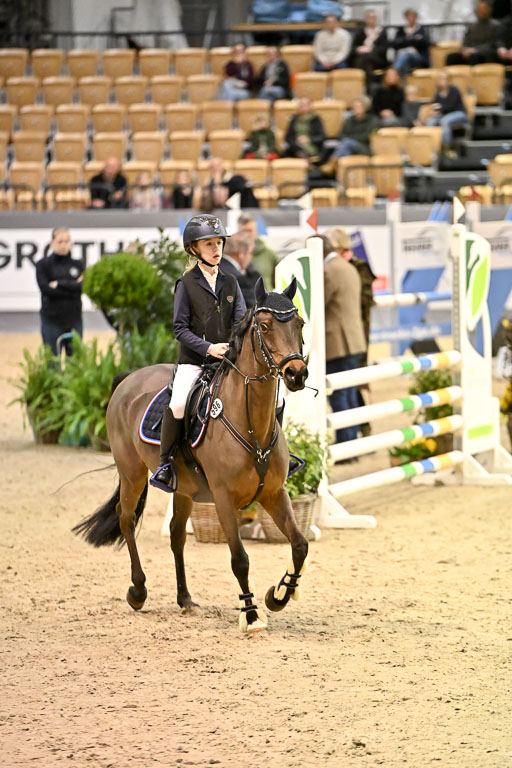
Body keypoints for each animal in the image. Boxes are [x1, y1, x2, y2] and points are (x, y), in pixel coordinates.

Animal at [73, 278, 310, 634]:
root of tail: (129, 378)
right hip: (132, 474)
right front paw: (251, 615)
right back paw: (137, 591)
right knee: (126, 518)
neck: (251, 425)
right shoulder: (224, 499)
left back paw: (185, 599)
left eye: (300, 324)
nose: (297, 374)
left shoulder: (274, 493)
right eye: (265, 326)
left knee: (175, 535)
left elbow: (299, 545)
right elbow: (239, 559)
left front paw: (278, 595)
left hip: (183, 488)